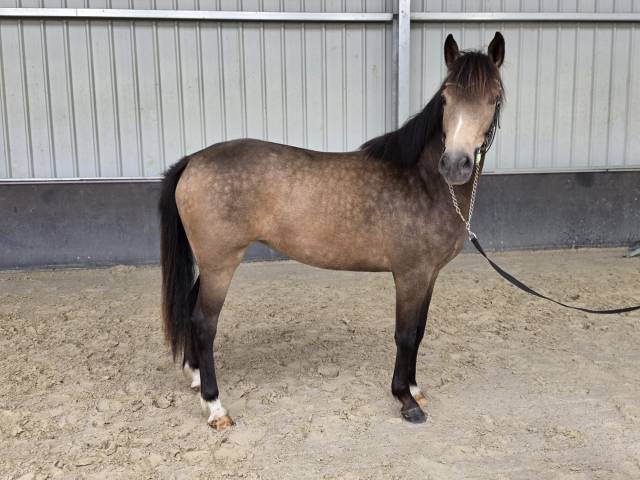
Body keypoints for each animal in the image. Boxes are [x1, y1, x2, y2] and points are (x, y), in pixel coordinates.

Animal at [158, 32, 505, 429]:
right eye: (445, 99)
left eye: (494, 98)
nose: (455, 164)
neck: (423, 181)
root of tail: (193, 160)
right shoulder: (410, 275)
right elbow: (404, 335)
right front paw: (405, 400)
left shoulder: (429, 275)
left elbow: (419, 332)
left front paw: (416, 389)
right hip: (221, 264)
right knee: (204, 323)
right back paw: (215, 406)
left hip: (212, 262)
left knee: (190, 310)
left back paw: (196, 377)